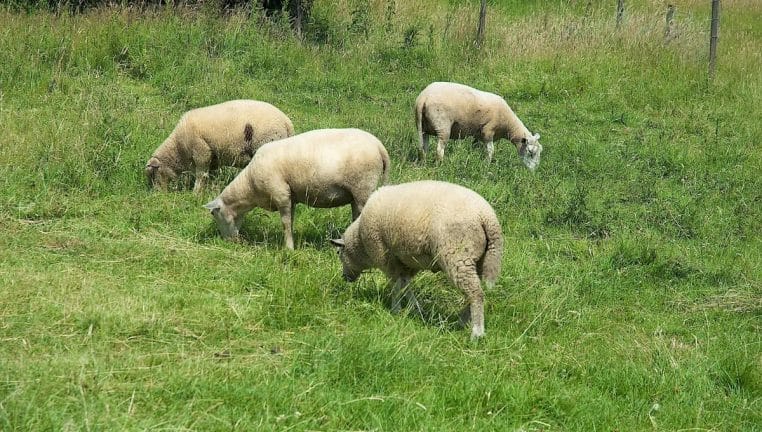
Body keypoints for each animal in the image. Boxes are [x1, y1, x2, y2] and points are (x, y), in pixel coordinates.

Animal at [145, 99, 294, 194]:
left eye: (153, 174)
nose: (158, 195)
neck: (178, 149)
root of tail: (287, 123)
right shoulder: (213, 158)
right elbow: (210, 175)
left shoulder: (201, 151)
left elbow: (201, 175)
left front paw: (196, 193)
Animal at [204, 128, 390, 250]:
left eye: (214, 214)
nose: (228, 242)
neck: (250, 186)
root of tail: (379, 146)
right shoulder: (290, 197)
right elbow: (291, 221)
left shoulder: (280, 193)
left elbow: (285, 222)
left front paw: (288, 248)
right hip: (357, 193)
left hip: (363, 188)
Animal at [330, 180, 503, 339]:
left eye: (339, 253)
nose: (345, 277)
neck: (360, 240)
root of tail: (486, 217)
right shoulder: (407, 262)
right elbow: (406, 285)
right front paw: (415, 309)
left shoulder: (386, 257)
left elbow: (396, 286)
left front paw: (395, 309)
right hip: (479, 260)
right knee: (473, 291)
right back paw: (461, 322)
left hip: (458, 255)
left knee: (475, 293)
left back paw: (476, 332)